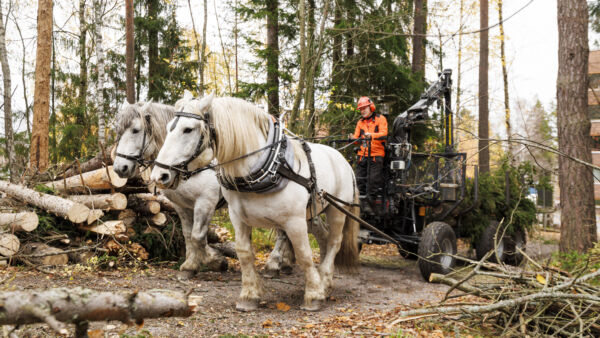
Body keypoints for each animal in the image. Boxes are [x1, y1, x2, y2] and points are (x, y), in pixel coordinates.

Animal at [112, 101, 296, 278]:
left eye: (135, 130)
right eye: (119, 131)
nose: (120, 168)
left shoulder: (206, 201)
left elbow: (198, 236)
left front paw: (212, 261)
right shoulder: (181, 205)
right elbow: (188, 234)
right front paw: (191, 263)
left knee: (282, 232)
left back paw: (273, 264)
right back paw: (286, 263)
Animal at [150, 93, 358, 312]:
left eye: (188, 129)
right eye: (168, 128)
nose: (159, 175)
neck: (270, 167)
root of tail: (340, 157)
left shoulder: (293, 220)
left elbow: (304, 254)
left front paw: (313, 295)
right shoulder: (237, 216)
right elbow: (244, 253)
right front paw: (249, 295)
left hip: (337, 210)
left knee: (335, 241)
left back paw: (324, 281)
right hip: (312, 213)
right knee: (324, 238)